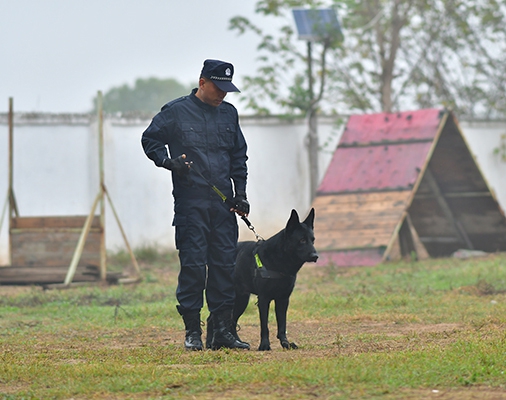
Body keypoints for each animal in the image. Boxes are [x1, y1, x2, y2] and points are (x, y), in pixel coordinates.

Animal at [206, 209, 316, 350]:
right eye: (301, 240)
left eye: (312, 240)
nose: (315, 256)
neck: (279, 262)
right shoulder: (264, 299)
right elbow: (265, 325)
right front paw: (264, 345)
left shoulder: (283, 300)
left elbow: (282, 325)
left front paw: (285, 343)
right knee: (212, 319)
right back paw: (210, 344)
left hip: (241, 300)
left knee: (232, 321)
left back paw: (237, 342)